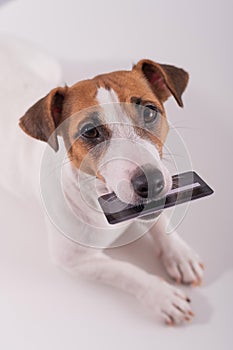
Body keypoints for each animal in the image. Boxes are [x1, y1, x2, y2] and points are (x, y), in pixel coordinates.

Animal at [0, 42, 204, 326]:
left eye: (149, 112)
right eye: (90, 132)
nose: (151, 182)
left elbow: (160, 220)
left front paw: (179, 254)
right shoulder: (75, 261)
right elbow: (124, 271)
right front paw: (160, 295)